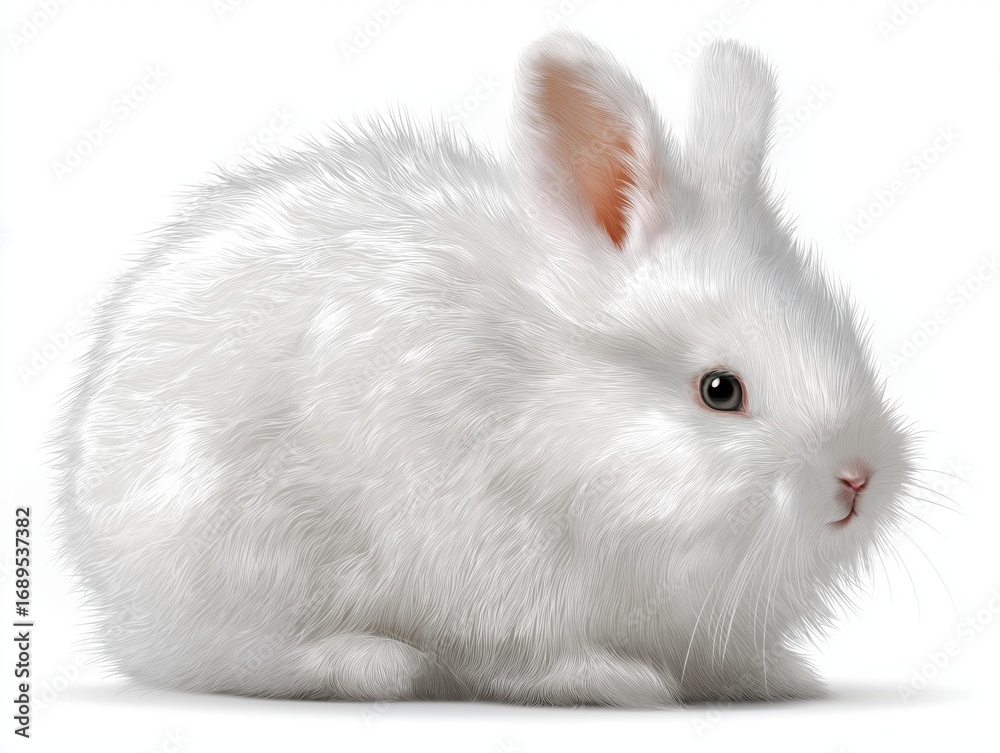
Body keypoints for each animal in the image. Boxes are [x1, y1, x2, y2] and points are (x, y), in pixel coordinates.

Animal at [50, 30, 916, 708]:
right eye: (720, 390)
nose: (857, 476)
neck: (556, 418)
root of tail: (113, 587)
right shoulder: (491, 565)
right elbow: (525, 653)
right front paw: (612, 679)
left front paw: (776, 673)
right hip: (241, 564)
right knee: (238, 658)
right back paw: (370, 662)